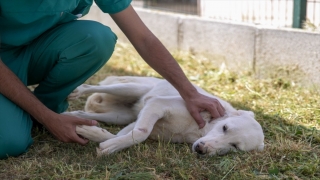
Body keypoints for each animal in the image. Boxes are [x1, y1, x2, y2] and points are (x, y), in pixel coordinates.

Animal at [63, 76, 264, 156]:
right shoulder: (157, 104)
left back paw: (71, 116)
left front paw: (95, 135)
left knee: (84, 113)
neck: (199, 131)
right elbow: (141, 133)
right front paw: (108, 146)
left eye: (235, 146)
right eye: (224, 128)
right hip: (129, 89)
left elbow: (124, 135)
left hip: (121, 116)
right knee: (92, 87)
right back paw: (77, 91)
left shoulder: (140, 120)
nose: (201, 149)